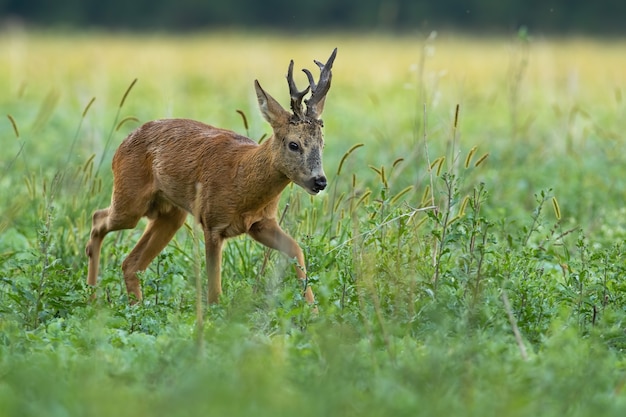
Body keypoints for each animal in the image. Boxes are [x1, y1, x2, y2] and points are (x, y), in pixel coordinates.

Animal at [88, 48, 336, 306]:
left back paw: (131, 306)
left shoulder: (261, 223)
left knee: (130, 264)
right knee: (98, 219)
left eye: (322, 143)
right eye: (294, 144)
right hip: (130, 200)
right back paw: (91, 296)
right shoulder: (212, 223)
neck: (242, 178)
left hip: (170, 214)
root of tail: (120, 146)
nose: (320, 181)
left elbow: (296, 249)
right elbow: (214, 292)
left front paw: (313, 308)